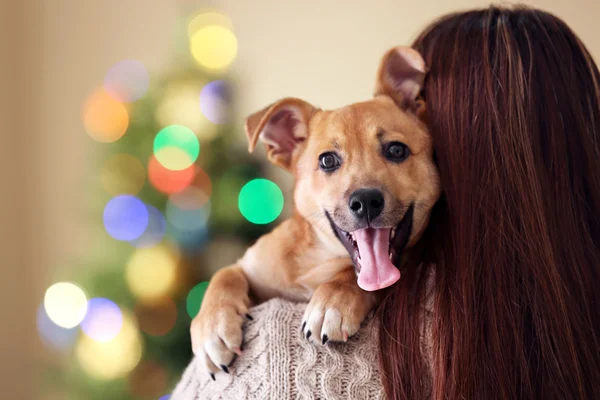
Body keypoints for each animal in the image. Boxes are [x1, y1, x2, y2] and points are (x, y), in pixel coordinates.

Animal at [191, 47, 440, 378]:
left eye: (396, 150)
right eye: (327, 161)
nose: (366, 201)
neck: (320, 258)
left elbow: (352, 277)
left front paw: (332, 301)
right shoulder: (251, 268)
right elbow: (224, 275)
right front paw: (212, 327)